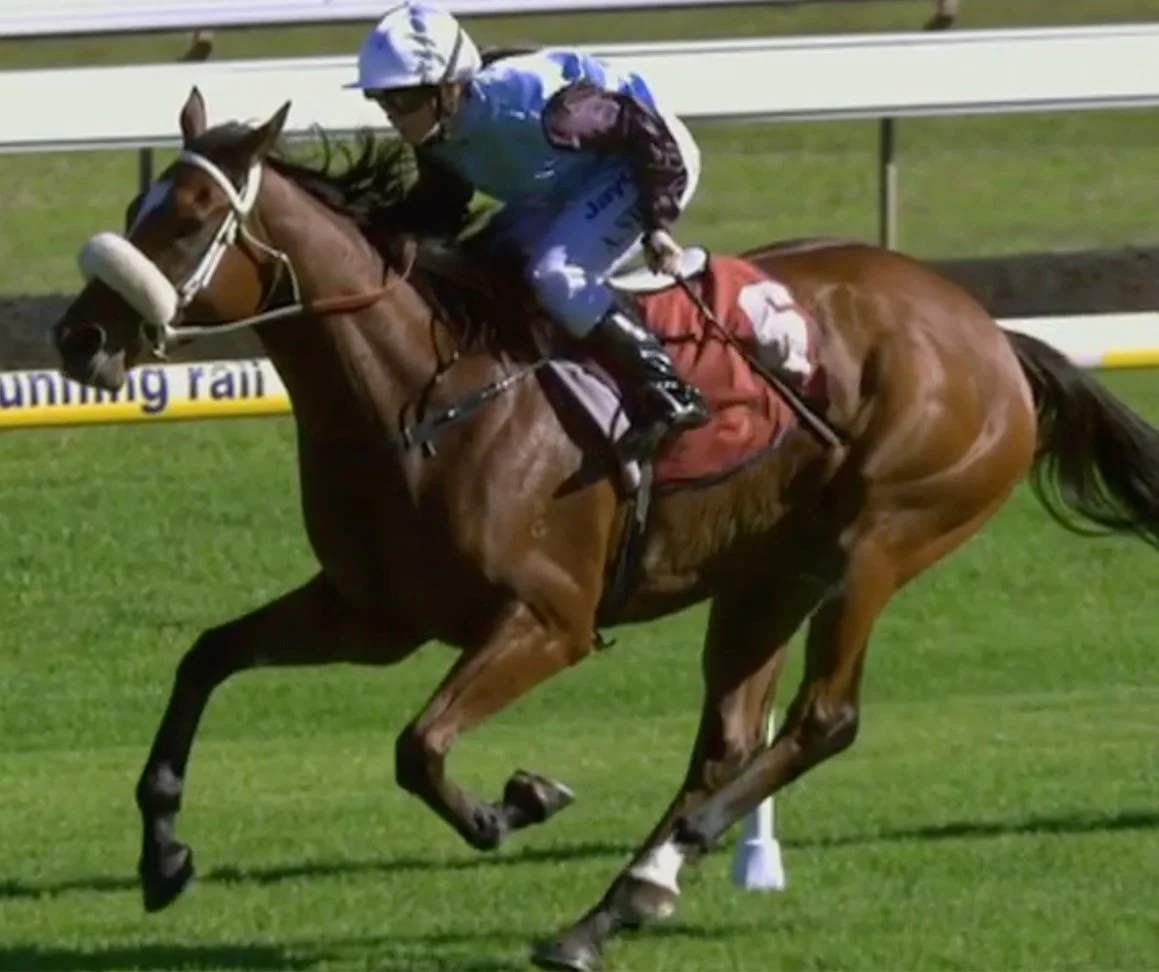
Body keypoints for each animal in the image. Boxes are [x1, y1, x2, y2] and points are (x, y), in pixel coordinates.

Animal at [50, 89, 1159, 972]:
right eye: (135, 210)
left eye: (192, 217)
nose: (78, 335)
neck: (419, 393)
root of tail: (988, 335)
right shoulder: (372, 615)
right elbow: (206, 658)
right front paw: (163, 854)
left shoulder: (548, 620)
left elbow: (418, 746)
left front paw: (515, 803)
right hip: (768, 574)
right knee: (728, 738)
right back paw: (620, 902)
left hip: (881, 540)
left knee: (819, 720)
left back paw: (655, 871)